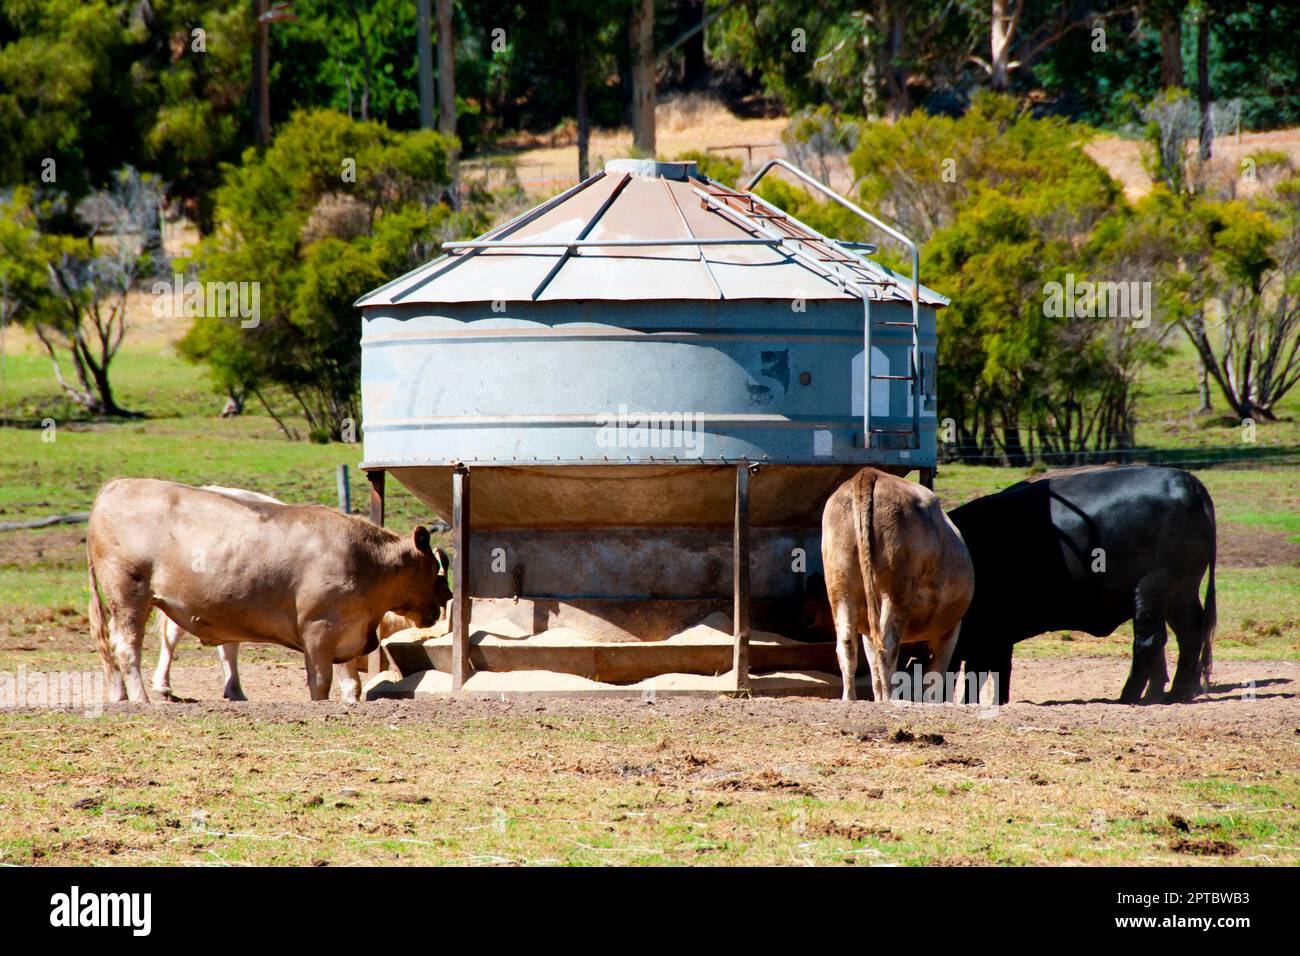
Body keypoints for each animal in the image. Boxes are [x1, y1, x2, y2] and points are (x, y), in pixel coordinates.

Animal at [87, 478, 451, 703]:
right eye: (436, 571)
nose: (447, 598)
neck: (366, 560)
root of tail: (115, 486)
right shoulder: (319, 627)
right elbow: (320, 681)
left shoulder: (352, 629)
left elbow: (351, 682)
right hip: (128, 592)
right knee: (128, 645)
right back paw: (142, 697)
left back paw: (120, 694)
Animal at [820, 468, 975, 702]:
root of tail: (869, 474)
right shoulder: (951, 629)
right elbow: (936, 675)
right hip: (896, 591)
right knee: (887, 644)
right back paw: (891, 698)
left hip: (840, 586)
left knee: (847, 644)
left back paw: (850, 697)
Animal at [946, 465, 1217, 705]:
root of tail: (1186, 482)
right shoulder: (997, 636)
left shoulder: (987, 634)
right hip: (1182, 589)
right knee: (1190, 632)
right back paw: (1178, 693)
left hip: (1153, 588)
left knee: (1150, 640)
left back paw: (1128, 697)